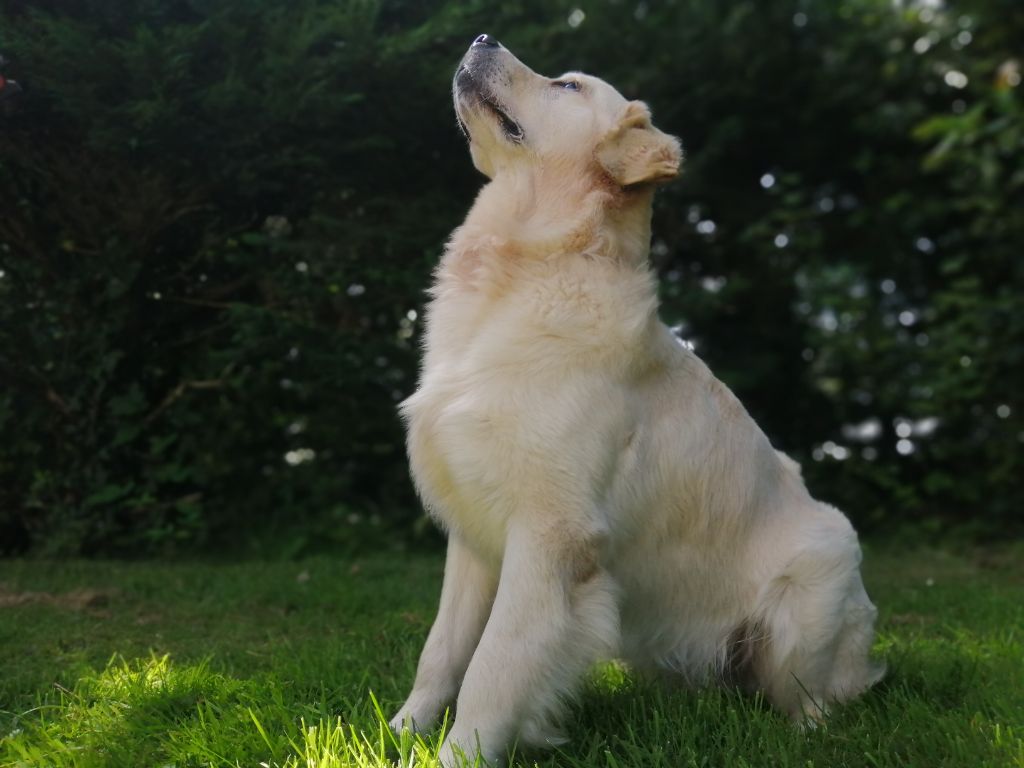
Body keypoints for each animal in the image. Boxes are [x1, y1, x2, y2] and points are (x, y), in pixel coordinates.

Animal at [387, 36, 884, 768]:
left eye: (567, 85)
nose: (481, 38)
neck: (528, 269)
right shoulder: (474, 539)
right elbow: (441, 651)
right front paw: (397, 732)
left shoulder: (550, 537)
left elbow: (494, 665)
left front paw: (461, 753)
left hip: (819, 576)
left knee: (816, 705)